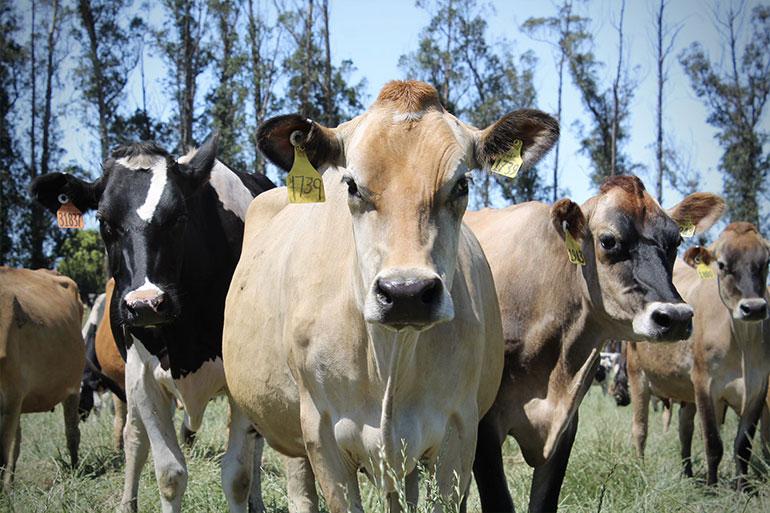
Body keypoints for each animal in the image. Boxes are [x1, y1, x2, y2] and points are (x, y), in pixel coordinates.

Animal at [31, 136, 275, 513]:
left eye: (179, 217)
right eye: (103, 220)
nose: (146, 304)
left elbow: (238, 475)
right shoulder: (143, 377)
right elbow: (170, 474)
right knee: (134, 438)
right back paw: (126, 502)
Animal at [222, 80, 558, 513]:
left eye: (462, 184)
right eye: (351, 185)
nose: (406, 293)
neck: (389, 358)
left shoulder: (458, 433)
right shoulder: (321, 432)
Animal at [627, 222, 770, 489]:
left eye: (766, 261)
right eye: (722, 265)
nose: (754, 308)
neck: (743, 343)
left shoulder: (758, 389)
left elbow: (742, 446)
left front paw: (742, 488)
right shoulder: (705, 384)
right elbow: (713, 443)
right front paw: (712, 488)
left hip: (686, 392)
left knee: (685, 430)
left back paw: (688, 474)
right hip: (636, 375)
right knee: (640, 429)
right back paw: (640, 471)